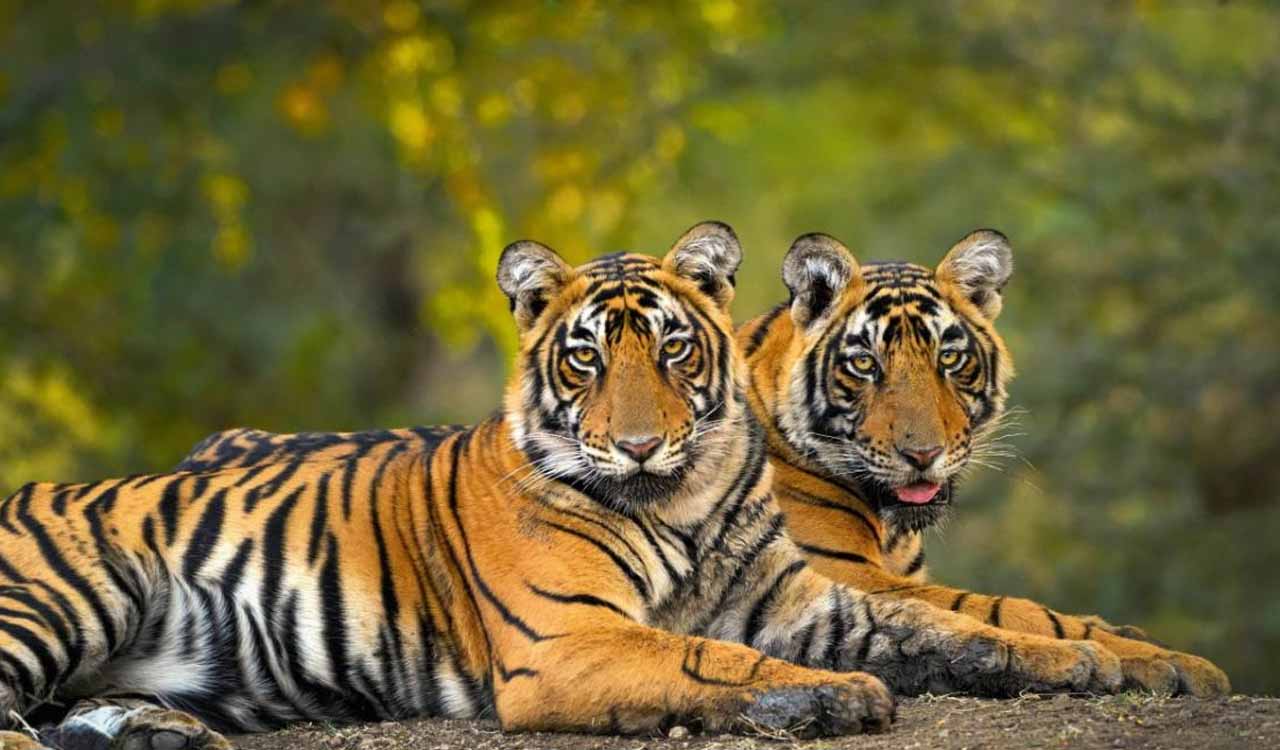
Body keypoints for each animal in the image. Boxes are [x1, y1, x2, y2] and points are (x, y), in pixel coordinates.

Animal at [0, 222, 1131, 750]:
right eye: (586, 358)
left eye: (672, 350)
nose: (636, 446)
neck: (681, 497)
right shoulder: (567, 638)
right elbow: (702, 656)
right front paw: (833, 696)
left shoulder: (804, 599)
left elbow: (958, 621)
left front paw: (1088, 662)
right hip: (71, 592)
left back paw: (155, 728)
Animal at [737, 229, 1231, 698]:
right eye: (863, 363)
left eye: (950, 358)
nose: (923, 454)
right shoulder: (835, 571)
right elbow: (1006, 609)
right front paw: (1167, 661)